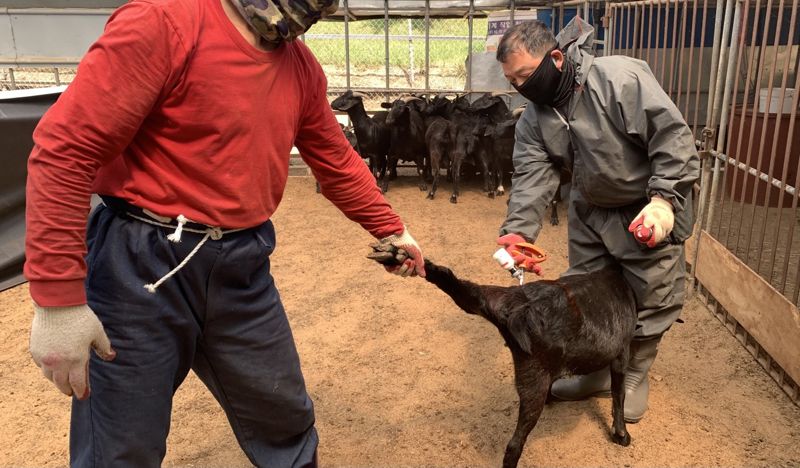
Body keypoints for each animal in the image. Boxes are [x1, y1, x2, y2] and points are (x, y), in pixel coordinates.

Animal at [368, 247, 636, 466]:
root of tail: (519, 309)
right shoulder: (622, 354)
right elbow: (619, 395)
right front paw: (621, 434)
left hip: (482, 298)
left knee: (448, 278)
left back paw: (398, 255)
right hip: (534, 384)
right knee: (514, 446)